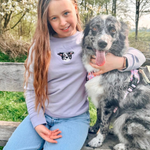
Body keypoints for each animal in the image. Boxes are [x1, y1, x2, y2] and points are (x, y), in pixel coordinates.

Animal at [81, 14, 150, 149]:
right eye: (95, 27)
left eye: (113, 30)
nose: (102, 43)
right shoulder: (100, 98)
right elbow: (99, 116)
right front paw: (94, 128)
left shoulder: (109, 101)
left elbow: (104, 123)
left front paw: (98, 140)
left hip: (126, 118)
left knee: (143, 144)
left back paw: (122, 145)